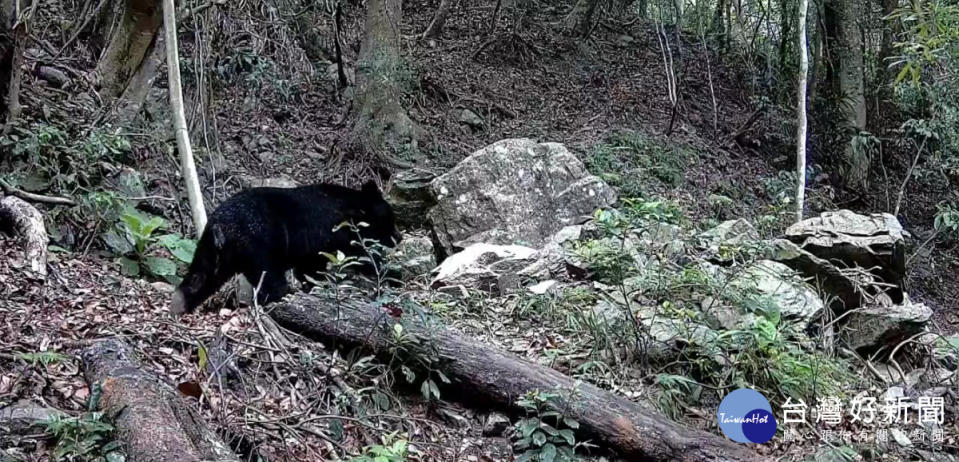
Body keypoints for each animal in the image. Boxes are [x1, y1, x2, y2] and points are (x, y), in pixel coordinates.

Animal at [171, 180, 400, 314]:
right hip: (258, 245)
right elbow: (357, 256)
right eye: (390, 220)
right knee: (270, 279)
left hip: (211, 249)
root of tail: (221, 227)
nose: (398, 237)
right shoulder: (330, 236)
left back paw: (180, 304)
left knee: (200, 276)